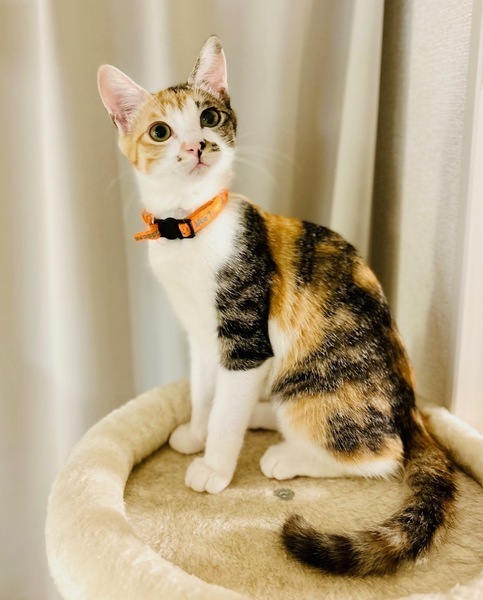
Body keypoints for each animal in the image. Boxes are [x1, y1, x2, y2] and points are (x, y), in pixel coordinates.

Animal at [98, 36, 456, 576]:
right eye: (160, 131)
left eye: (208, 117)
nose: (196, 146)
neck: (191, 229)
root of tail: (411, 406)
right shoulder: (203, 336)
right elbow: (205, 391)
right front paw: (197, 433)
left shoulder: (246, 336)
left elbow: (227, 410)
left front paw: (214, 467)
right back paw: (263, 417)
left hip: (317, 385)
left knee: (382, 454)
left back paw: (287, 456)